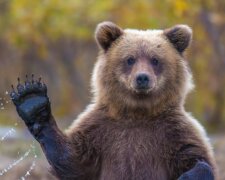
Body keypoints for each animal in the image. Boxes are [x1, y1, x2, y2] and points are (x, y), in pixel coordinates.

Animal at [10, 21, 216, 179]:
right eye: (130, 59)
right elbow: (73, 162)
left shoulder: (174, 132)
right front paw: (32, 101)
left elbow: (197, 158)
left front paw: (188, 175)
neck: (138, 112)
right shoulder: (99, 131)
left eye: (155, 59)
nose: (142, 78)